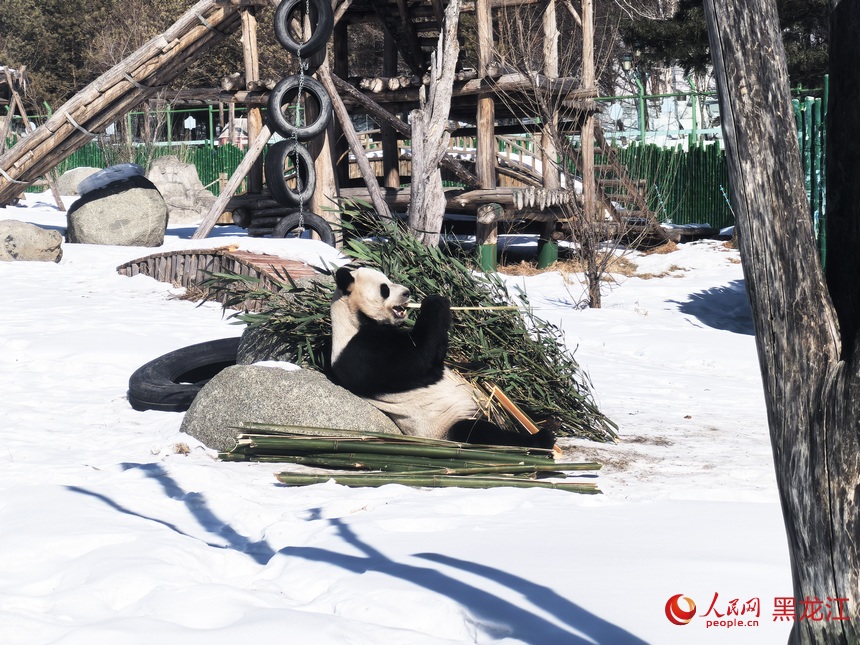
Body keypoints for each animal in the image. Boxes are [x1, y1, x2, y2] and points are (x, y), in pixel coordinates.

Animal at [330, 264, 556, 446]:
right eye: (384, 289)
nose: (407, 292)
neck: (353, 317)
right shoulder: (361, 353)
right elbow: (418, 360)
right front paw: (434, 301)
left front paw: (480, 367)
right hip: (446, 426)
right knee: (481, 433)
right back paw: (541, 438)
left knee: (519, 411)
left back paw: (546, 417)